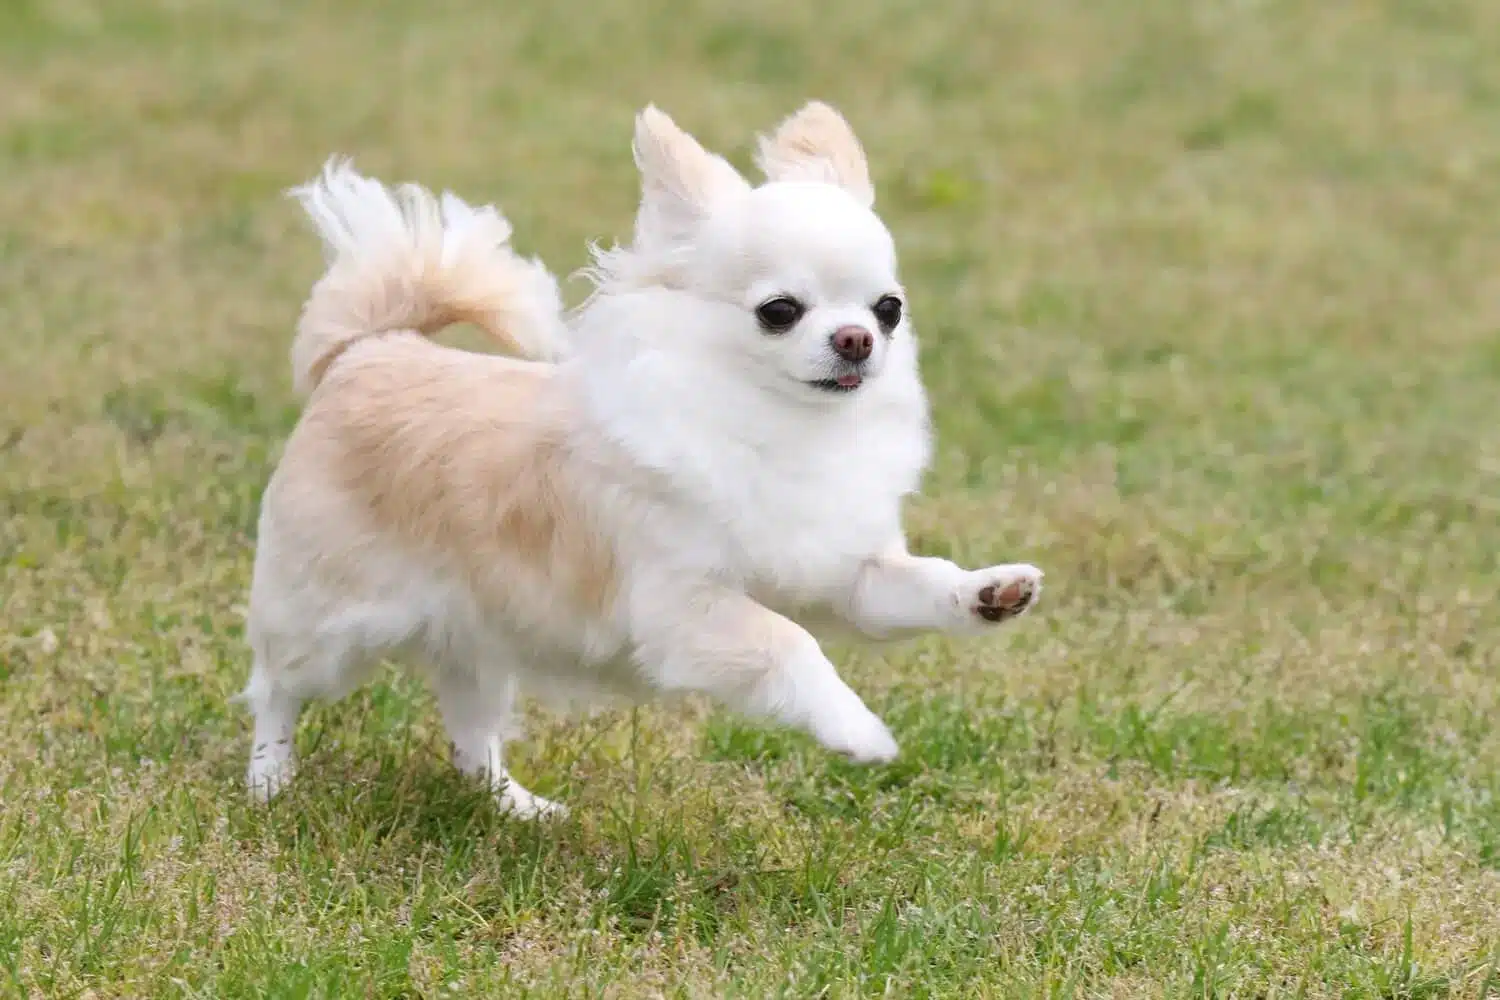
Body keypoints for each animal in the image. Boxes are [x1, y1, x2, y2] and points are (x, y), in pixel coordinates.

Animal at [246, 103, 1044, 821]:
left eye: (888, 309)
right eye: (780, 311)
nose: (856, 340)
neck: (781, 425)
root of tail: (370, 348)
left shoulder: (845, 578)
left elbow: (913, 584)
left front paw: (988, 592)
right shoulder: (683, 608)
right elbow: (788, 641)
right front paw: (857, 730)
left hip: (477, 635)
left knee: (472, 733)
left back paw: (517, 808)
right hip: (325, 620)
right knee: (276, 689)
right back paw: (269, 782)